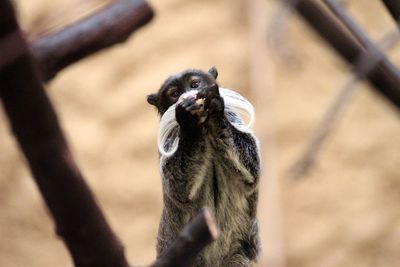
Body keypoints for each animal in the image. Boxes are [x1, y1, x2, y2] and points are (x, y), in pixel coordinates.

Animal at [147, 67, 260, 267]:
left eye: (194, 85)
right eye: (175, 94)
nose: (187, 95)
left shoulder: (233, 119)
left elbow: (252, 172)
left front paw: (215, 107)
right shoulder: (169, 141)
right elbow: (179, 190)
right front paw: (188, 121)